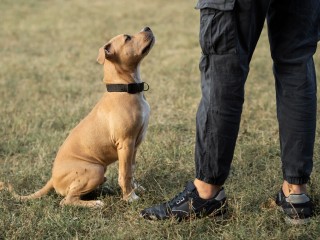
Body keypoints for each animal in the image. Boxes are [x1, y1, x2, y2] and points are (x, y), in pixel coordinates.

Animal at [0, 26, 155, 208]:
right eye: (127, 38)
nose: (147, 28)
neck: (124, 88)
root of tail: (52, 179)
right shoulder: (125, 143)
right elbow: (125, 173)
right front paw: (130, 197)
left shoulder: (134, 145)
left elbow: (131, 168)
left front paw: (136, 189)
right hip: (95, 169)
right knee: (67, 200)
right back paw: (95, 204)